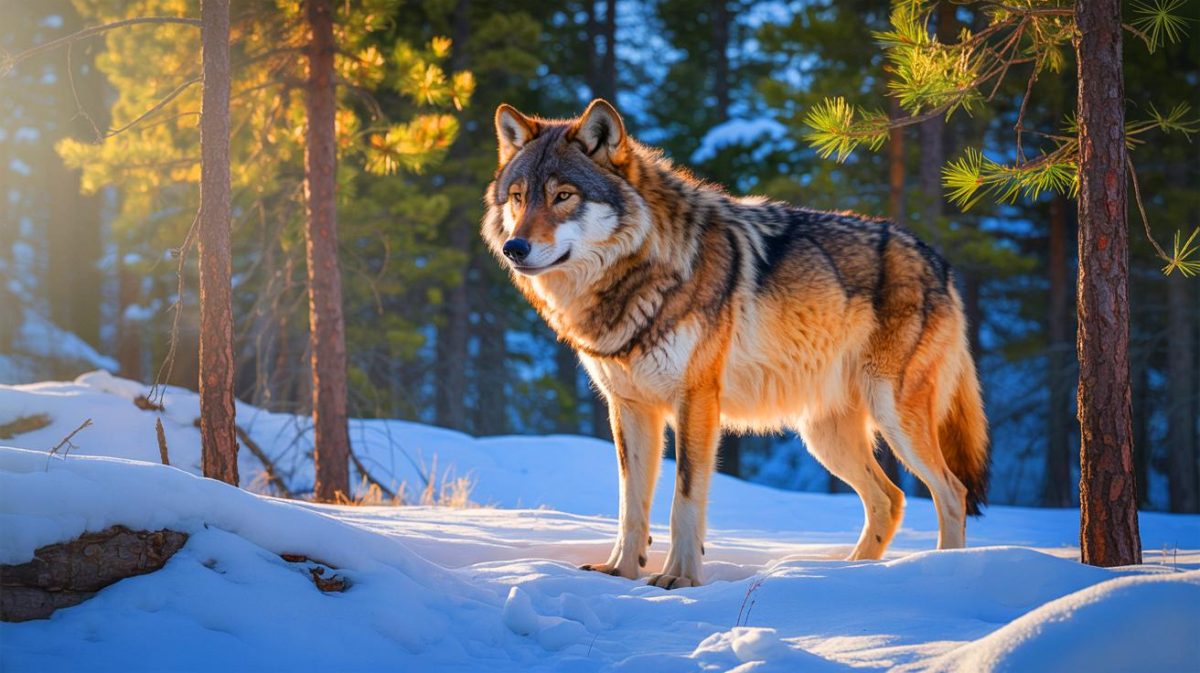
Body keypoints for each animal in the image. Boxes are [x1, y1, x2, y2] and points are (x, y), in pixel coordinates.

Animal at [481, 99, 989, 589]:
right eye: (519, 197)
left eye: (563, 196)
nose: (515, 248)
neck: (640, 274)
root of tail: (938, 261)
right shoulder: (629, 407)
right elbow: (630, 504)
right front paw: (620, 573)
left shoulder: (696, 400)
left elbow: (684, 498)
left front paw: (679, 579)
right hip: (824, 436)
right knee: (891, 498)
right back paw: (848, 575)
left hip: (893, 415)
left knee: (952, 492)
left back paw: (944, 571)